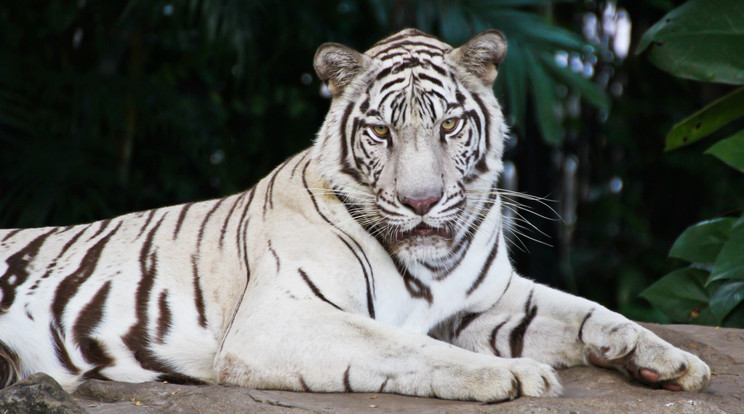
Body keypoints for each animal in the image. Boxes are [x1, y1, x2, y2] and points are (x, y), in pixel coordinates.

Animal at [0, 29, 708, 402]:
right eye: (381, 132)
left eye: (449, 125)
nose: (421, 202)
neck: (433, 262)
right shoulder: (280, 317)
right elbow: (403, 342)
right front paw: (511, 374)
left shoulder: (490, 300)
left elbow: (594, 314)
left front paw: (671, 361)